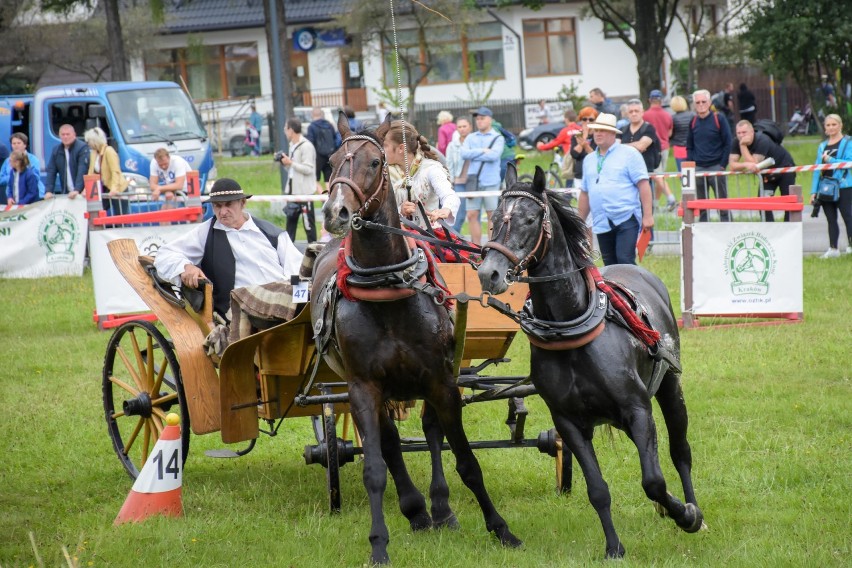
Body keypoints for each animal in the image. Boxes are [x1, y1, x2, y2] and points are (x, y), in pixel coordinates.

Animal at [308, 113, 520, 564]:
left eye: (374, 162)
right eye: (331, 160)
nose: (336, 212)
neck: (386, 288)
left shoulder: (441, 380)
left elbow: (465, 459)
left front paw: (500, 529)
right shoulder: (363, 387)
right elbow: (375, 466)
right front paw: (379, 544)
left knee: (431, 430)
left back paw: (440, 508)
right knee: (391, 444)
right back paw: (418, 510)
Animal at [476, 165, 704, 560]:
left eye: (530, 219)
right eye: (493, 219)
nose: (489, 272)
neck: (572, 328)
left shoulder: (637, 409)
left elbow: (654, 480)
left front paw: (683, 513)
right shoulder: (569, 423)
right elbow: (597, 489)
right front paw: (614, 547)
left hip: (670, 388)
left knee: (680, 451)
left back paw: (692, 510)